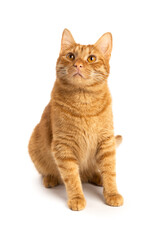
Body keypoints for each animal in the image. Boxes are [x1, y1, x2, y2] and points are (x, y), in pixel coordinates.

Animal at [28, 29, 124, 211]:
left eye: (91, 58)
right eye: (71, 56)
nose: (78, 65)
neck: (84, 102)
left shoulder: (106, 142)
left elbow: (110, 172)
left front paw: (112, 193)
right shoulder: (63, 146)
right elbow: (72, 177)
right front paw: (77, 198)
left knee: (90, 172)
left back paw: (97, 177)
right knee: (50, 172)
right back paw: (50, 179)